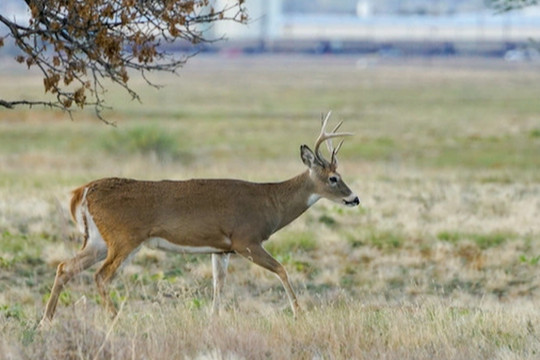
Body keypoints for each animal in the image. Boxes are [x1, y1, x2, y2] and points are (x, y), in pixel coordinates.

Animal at [41, 113, 358, 324]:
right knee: (101, 276)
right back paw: (116, 318)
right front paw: (298, 312)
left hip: (97, 240)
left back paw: (46, 320)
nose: (354, 198)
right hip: (124, 238)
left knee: (65, 267)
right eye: (334, 178)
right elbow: (281, 269)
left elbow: (219, 285)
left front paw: (214, 318)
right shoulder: (246, 240)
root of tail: (83, 191)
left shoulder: (222, 248)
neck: (271, 203)